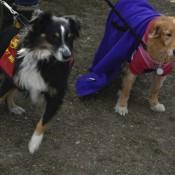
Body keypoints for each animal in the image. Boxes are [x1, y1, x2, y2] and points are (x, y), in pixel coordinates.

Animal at [0, 11, 80, 153]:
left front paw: (34, 143)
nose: (67, 56)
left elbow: (44, 121)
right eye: (54, 37)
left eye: (70, 37)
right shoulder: (12, 79)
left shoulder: (56, 94)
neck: (44, 60)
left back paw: (13, 107)